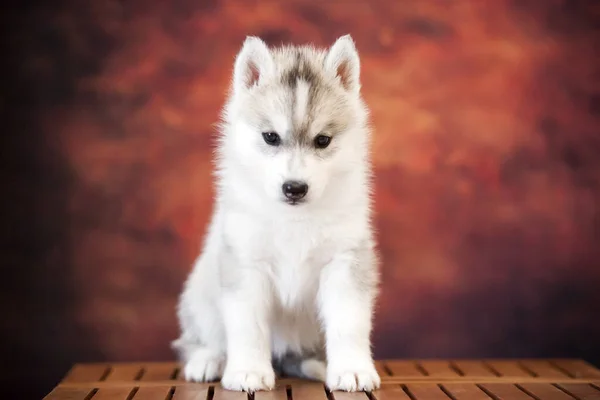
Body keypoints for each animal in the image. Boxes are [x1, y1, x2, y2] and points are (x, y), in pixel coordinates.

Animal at [172, 35, 380, 394]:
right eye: (271, 137)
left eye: (323, 140)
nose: (294, 188)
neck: (294, 218)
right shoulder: (245, 264)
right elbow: (247, 326)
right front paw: (248, 372)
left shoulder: (345, 261)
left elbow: (348, 323)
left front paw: (352, 369)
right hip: (201, 292)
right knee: (200, 339)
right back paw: (207, 361)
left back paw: (316, 365)